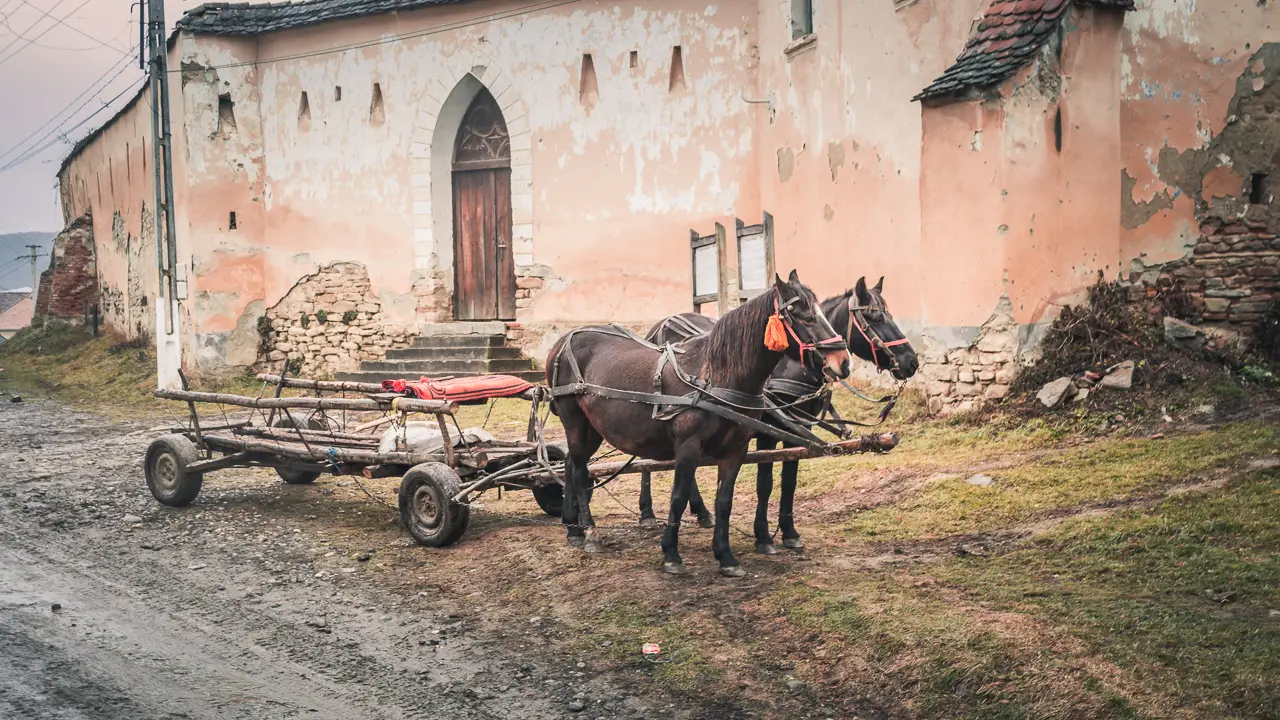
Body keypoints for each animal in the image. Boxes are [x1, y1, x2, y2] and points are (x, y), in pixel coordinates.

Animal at [542, 266, 849, 573]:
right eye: (804, 316)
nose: (843, 361)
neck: (715, 375)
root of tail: (562, 342)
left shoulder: (736, 450)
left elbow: (725, 501)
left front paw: (726, 556)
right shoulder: (689, 445)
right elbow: (678, 497)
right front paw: (671, 553)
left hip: (593, 427)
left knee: (570, 462)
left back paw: (573, 526)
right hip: (575, 421)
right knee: (580, 470)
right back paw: (588, 531)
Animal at [634, 272, 916, 548]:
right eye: (875, 317)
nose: (911, 362)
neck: (789, 368)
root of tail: (660, 325)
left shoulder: (800, 430)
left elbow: (789, 482)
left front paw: (789, 532)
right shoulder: (767, 434)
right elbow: (765, 483)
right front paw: (762, 535)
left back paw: (701, 511)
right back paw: (647, 511)